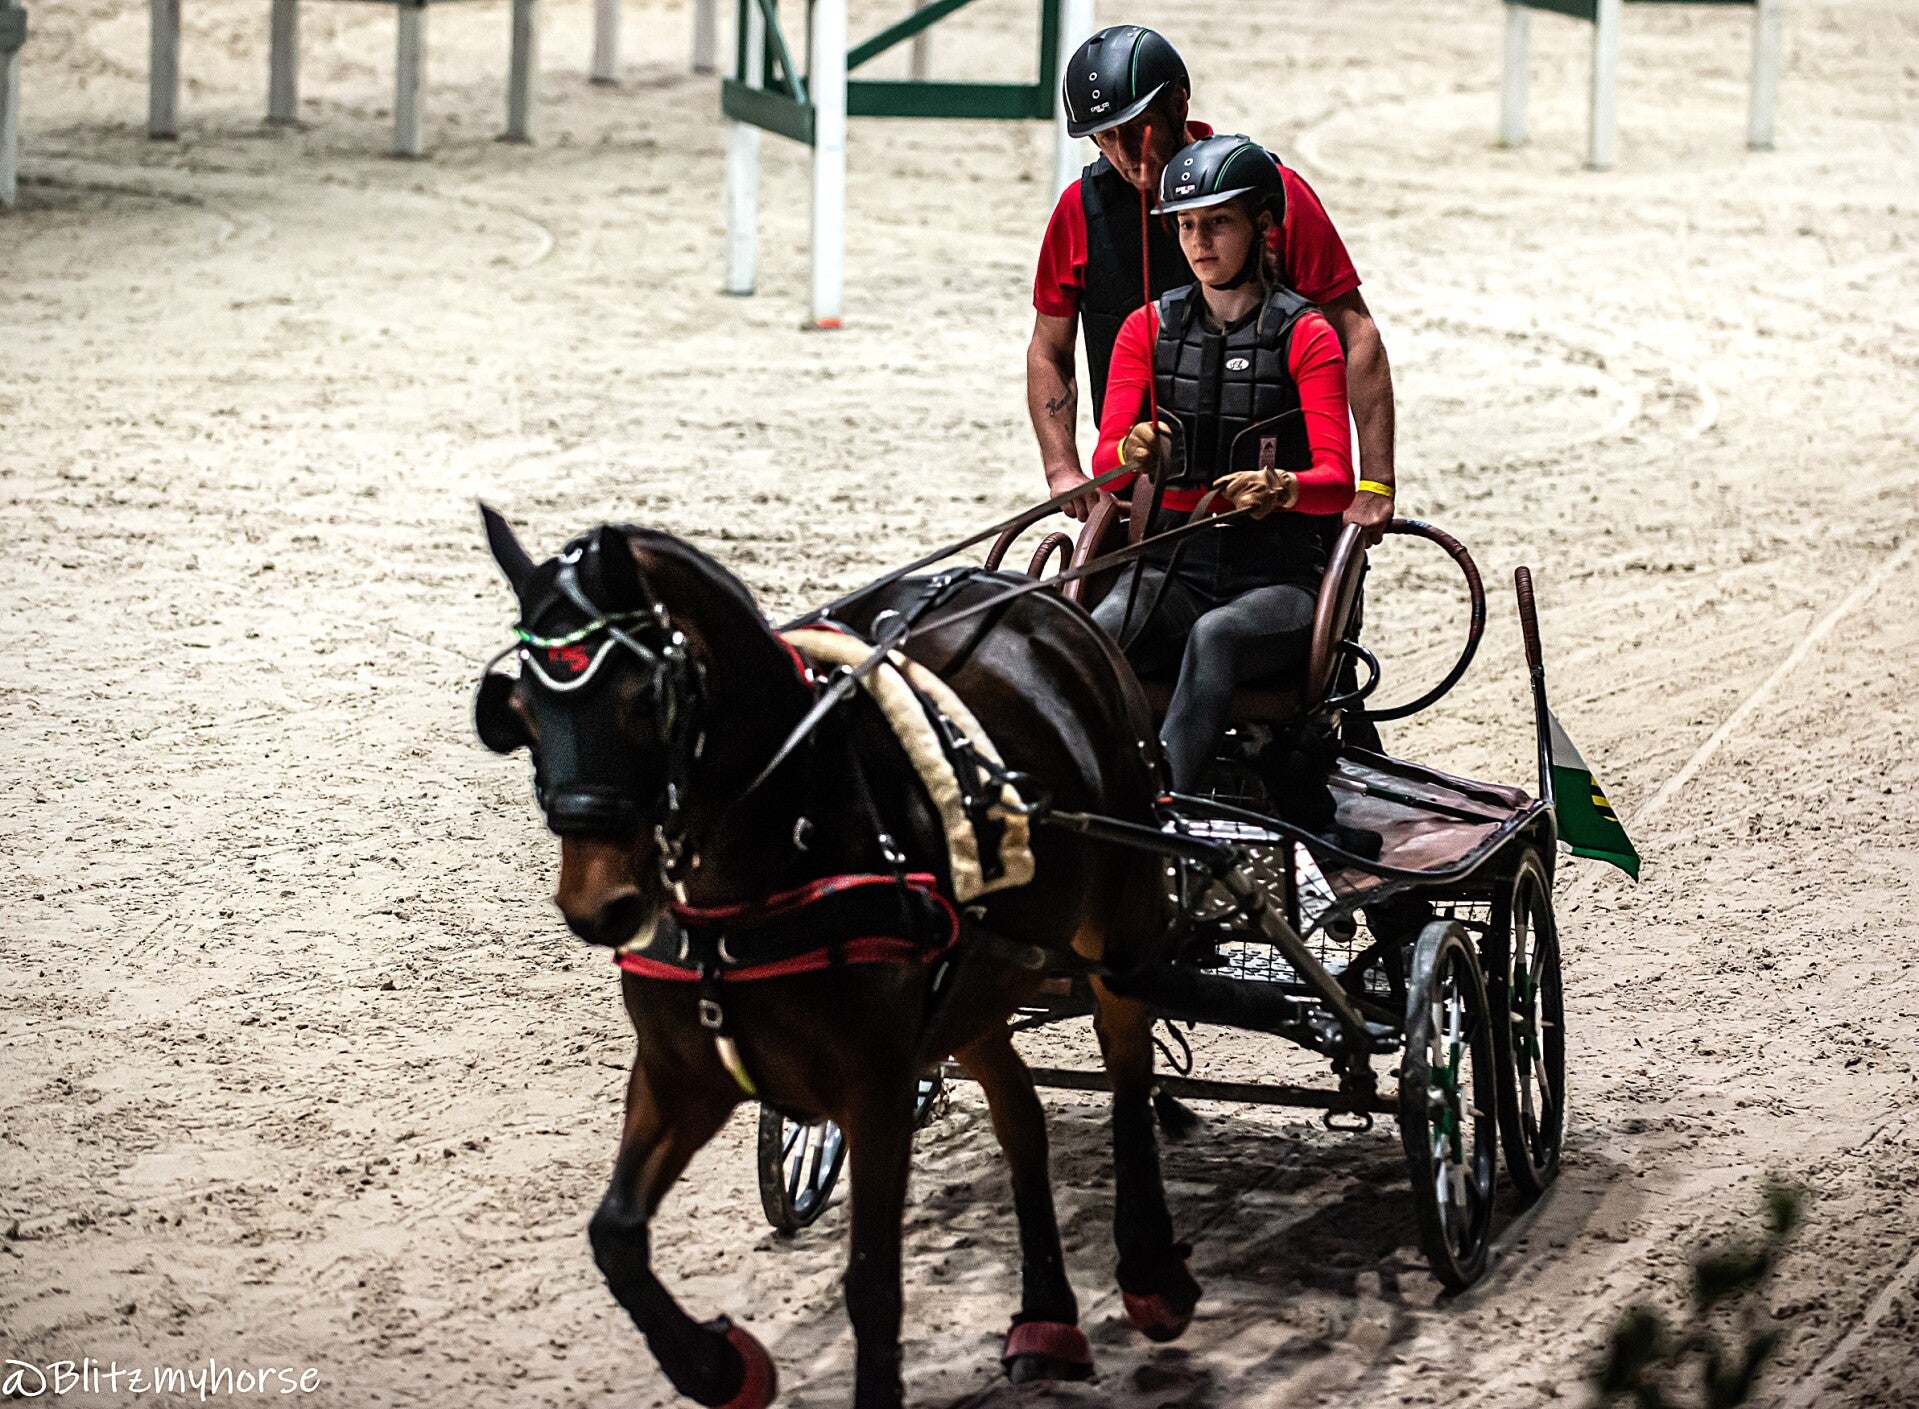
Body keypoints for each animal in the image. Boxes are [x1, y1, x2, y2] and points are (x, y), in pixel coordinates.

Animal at [471, 509, 1203, 1409]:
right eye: (523, 710)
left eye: (647, 699)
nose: (596, 905)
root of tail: (1042, 603)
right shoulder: (682, 1073)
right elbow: (615, 1235)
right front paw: (720, 1366)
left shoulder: (874, 1086)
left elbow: (873, 1282)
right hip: (977, 984)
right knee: (1020, 1116)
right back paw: (1045, 1316)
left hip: (1124, 928)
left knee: (1129, 1072)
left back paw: (1149, 1269)